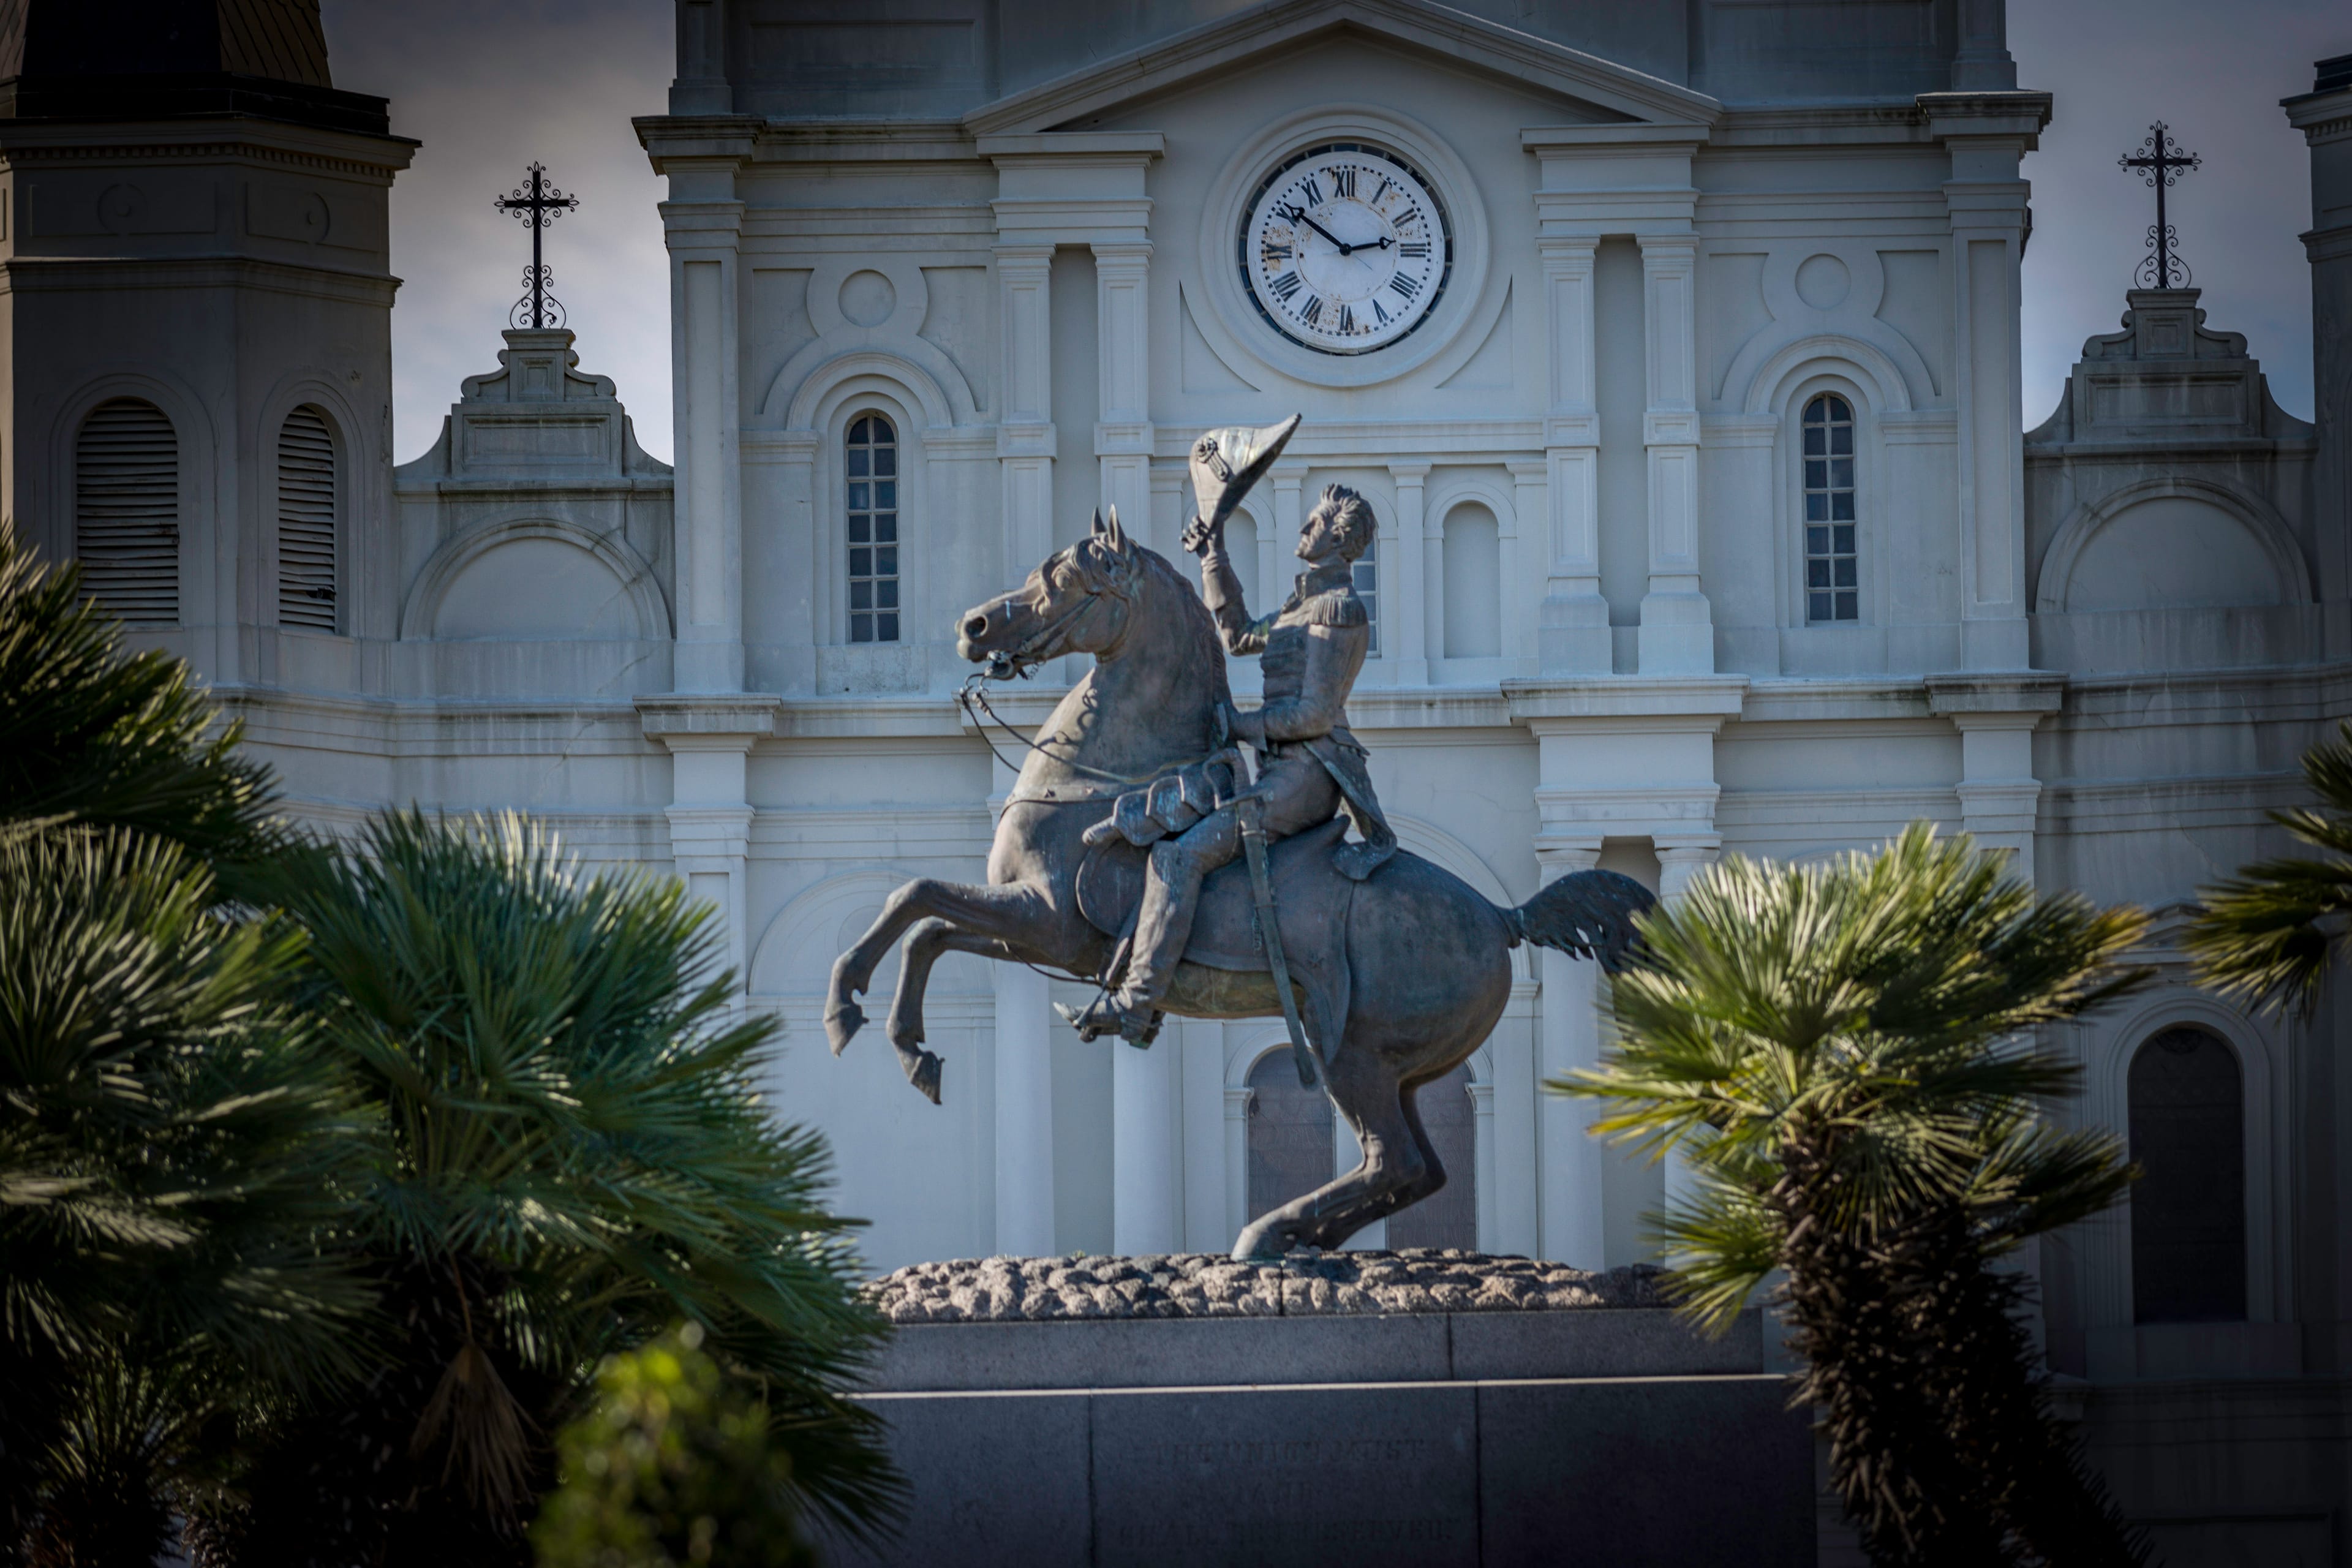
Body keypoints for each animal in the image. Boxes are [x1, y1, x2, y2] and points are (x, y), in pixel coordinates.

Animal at [832, 510, 1656, 1260]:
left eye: (1062, 577)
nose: (973, 626)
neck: (1100, 779)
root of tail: (1499, 914)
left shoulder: (1050, 921)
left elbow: (915, 896)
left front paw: (850, 1009)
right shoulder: (1041, 937)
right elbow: (926, 921)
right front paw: (905, 1044)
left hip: (1351, 1053)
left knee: (1394, 1161)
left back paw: (1270, 1231)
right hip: (1399, 1069)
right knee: (1415, 1169)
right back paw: (1301, 1235)